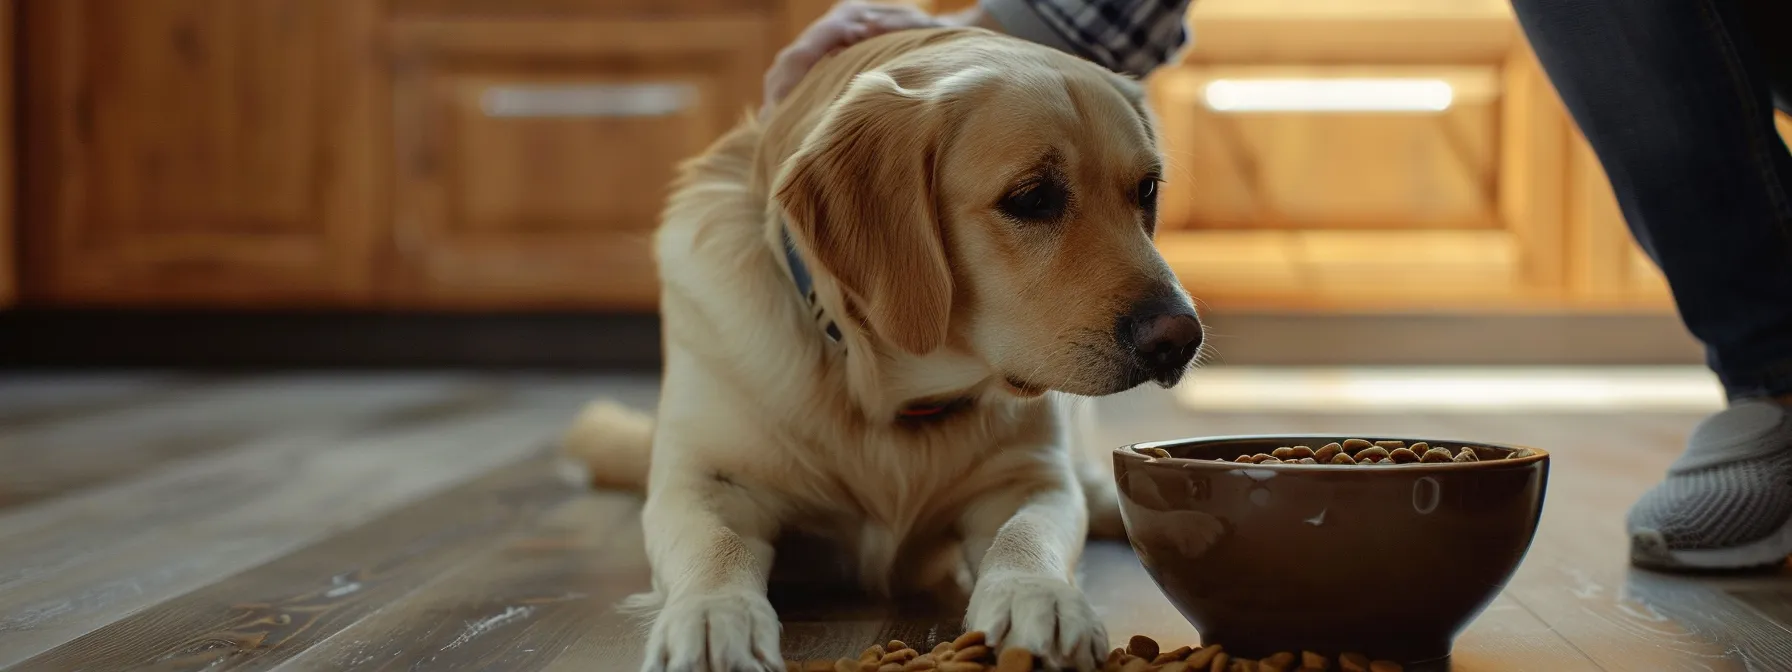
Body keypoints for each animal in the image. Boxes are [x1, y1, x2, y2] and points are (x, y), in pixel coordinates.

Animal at [562, 24, 1204, 672]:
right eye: (1032, 199)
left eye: (1146, 189)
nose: (1181, 339)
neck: (893, 393)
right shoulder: (706, 482)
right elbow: (716, 550)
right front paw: (713, 619)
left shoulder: (1029, 479)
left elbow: (1025, 537)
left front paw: (1040, 598)